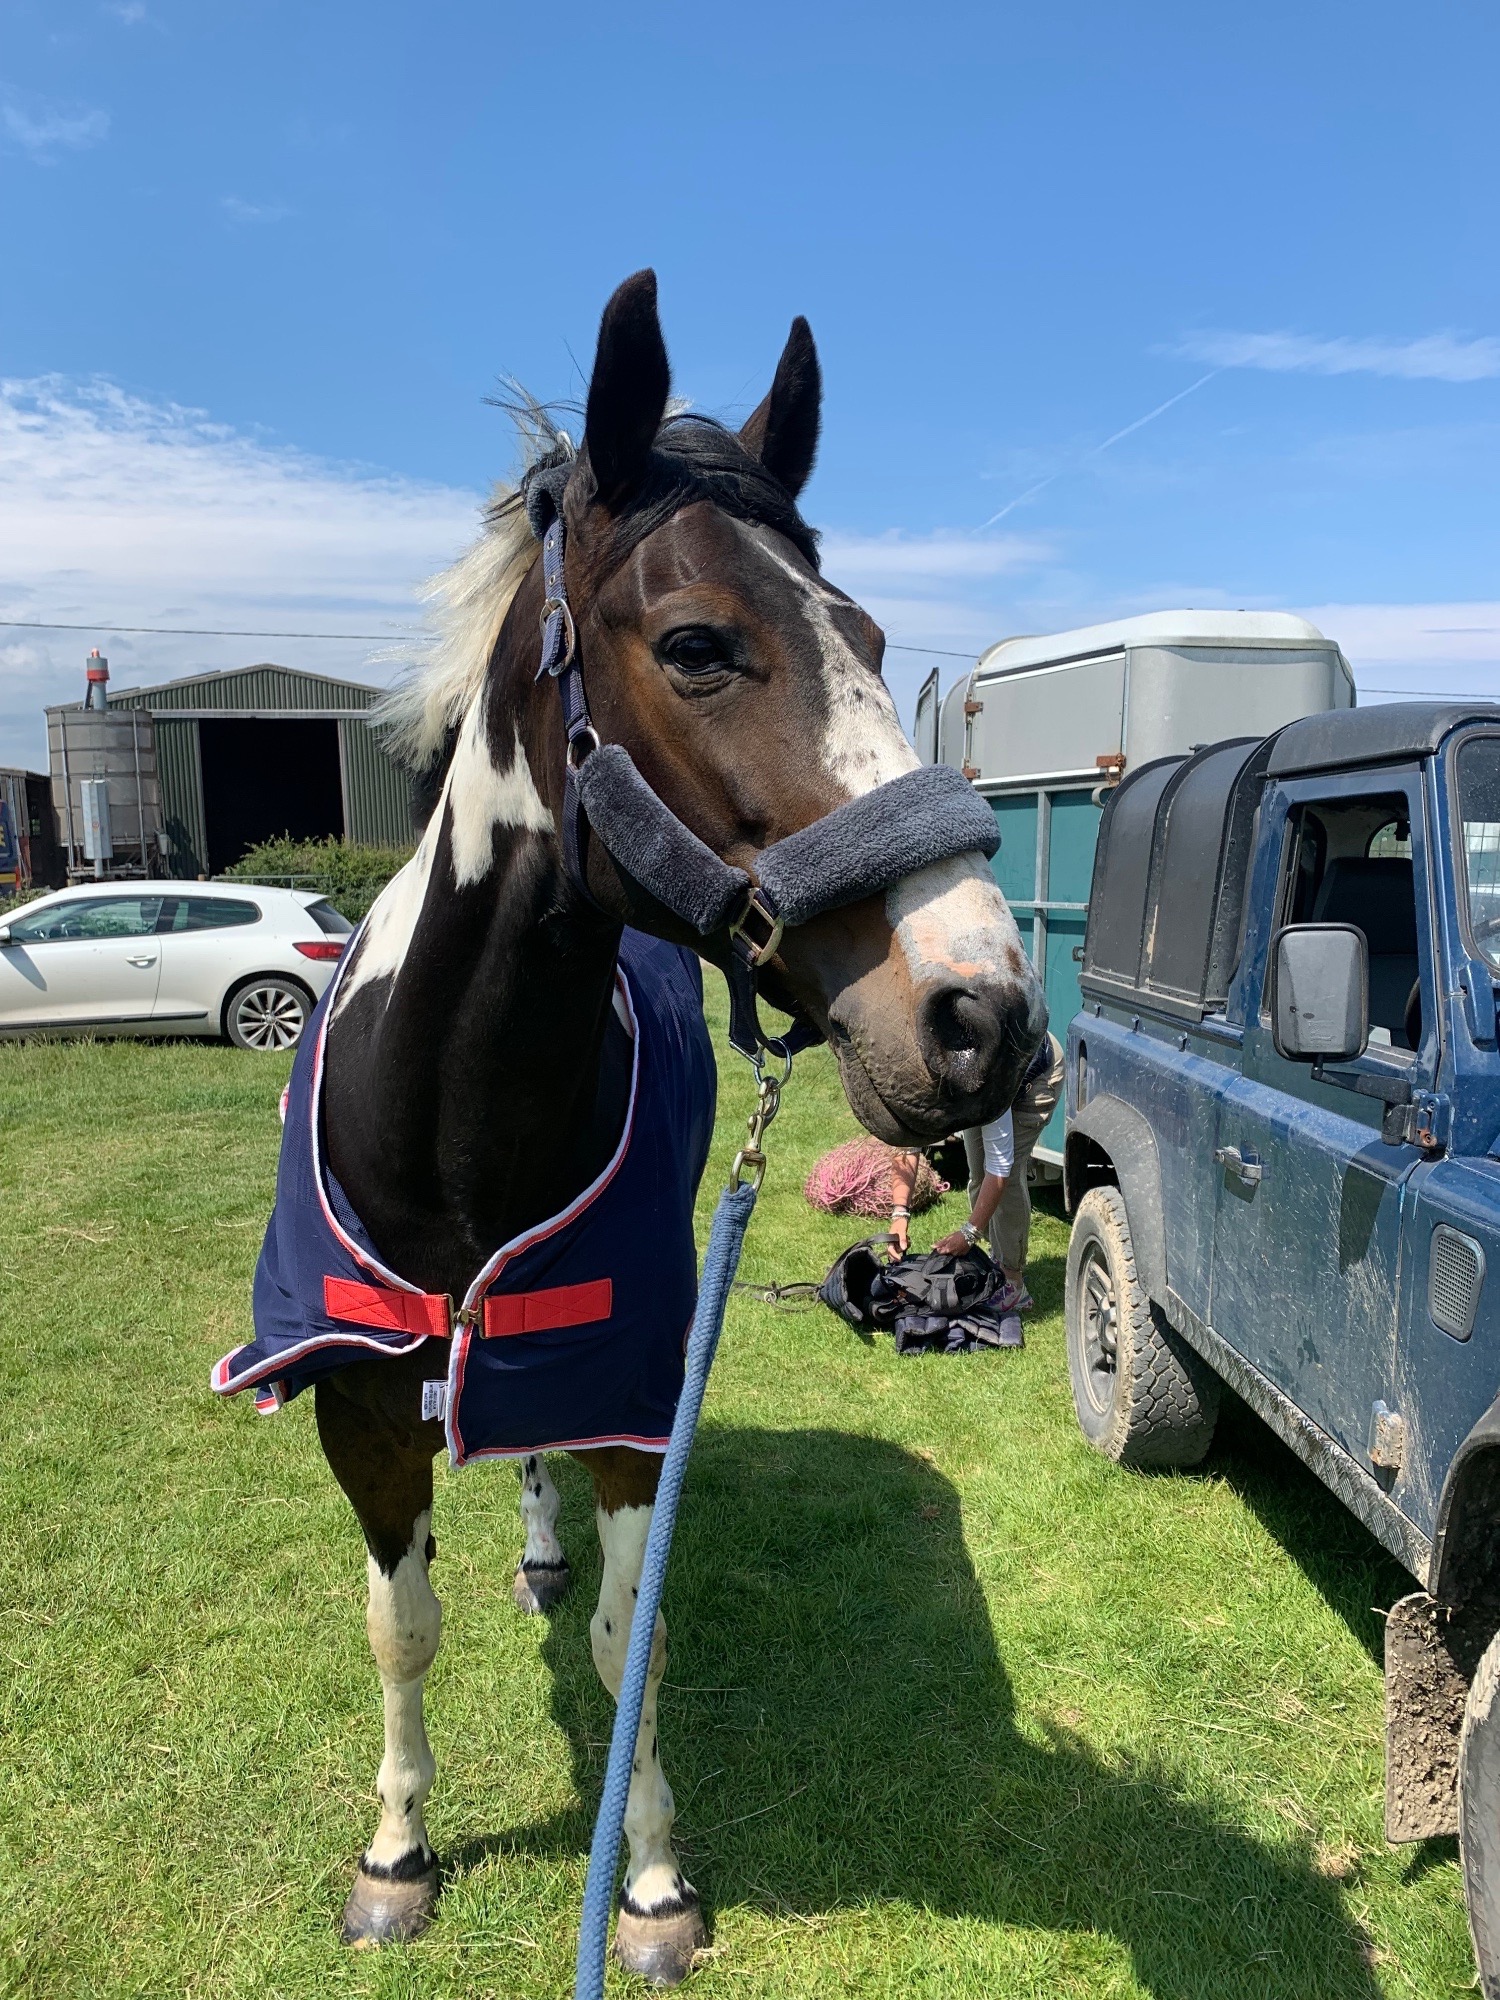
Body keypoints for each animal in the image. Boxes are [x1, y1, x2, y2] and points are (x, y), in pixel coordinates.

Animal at [214, 270, 1045, 1985]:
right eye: (698, 643)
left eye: (873, 640)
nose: (984, 1016)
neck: (449, 1117)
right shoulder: (356, 1404)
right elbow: (400, 1625)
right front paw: (396, 1854)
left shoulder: (616, 1388)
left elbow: (628, 1629)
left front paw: (648, 1879)